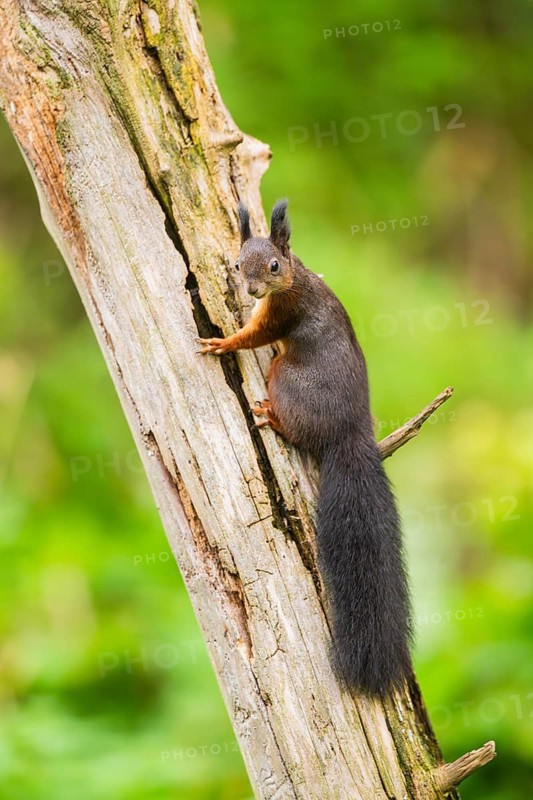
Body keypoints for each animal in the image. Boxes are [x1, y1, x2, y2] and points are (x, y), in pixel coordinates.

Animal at [200, 200, 412, 695]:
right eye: (239, 263)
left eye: (275, 265)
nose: (252, 287)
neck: (296, 278)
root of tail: (350, 432)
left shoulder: (282, 313)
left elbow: (253, 336)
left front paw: (221, 341)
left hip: (285, 377)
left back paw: (272, 416)